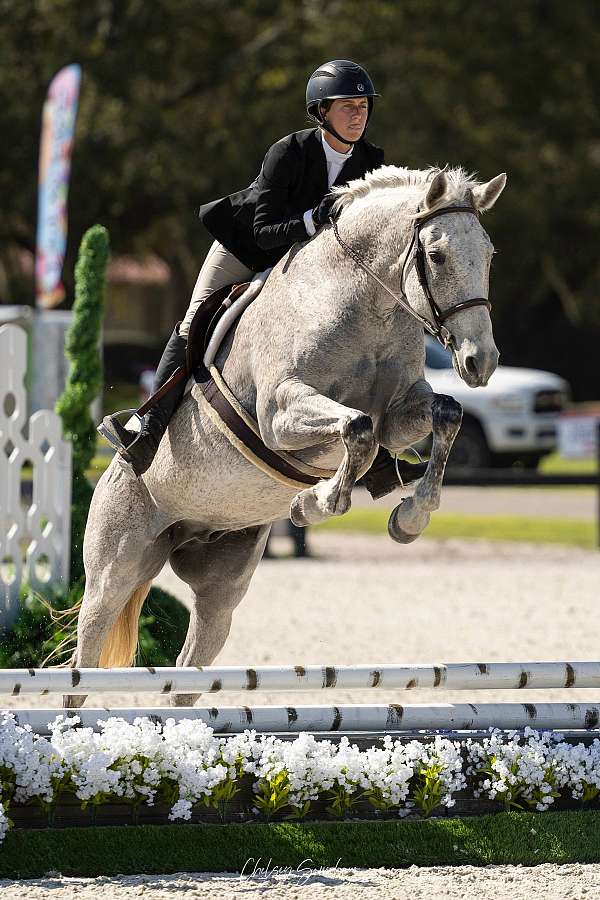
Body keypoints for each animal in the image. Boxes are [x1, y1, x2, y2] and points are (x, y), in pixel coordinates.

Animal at [64, 165, 506, 708]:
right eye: (438, 255)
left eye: (488, 253)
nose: (480, 362)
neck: (366, 306)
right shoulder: (279, 414)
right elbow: (356, 428)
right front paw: (313, 504)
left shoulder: (401, 412)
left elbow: (443, 415)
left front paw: (410, 516)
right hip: (114, 570)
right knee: (84, 661)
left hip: (222, 586)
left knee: (188, 670)